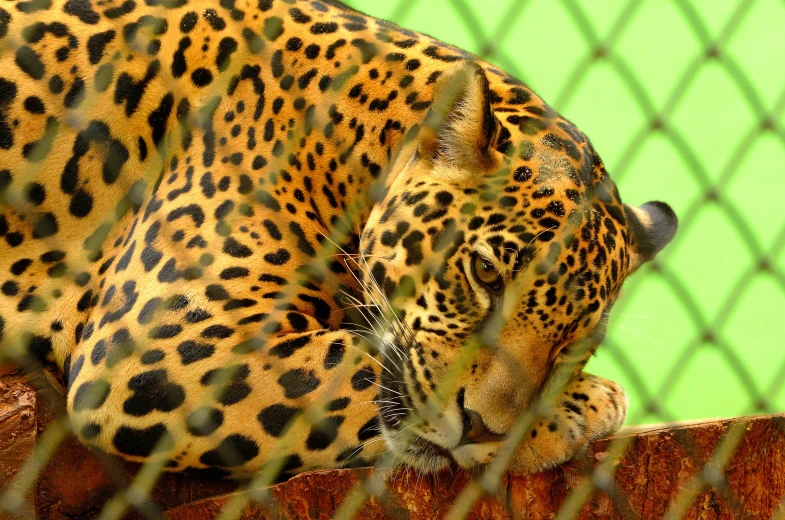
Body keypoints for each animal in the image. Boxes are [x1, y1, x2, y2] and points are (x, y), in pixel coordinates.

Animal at [0, 0, 676, 478]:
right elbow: (349, 362)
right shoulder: (160, 343)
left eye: (574, 341)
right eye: (485, 273)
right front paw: (586, 402)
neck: (354, 138)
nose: (482, 427)